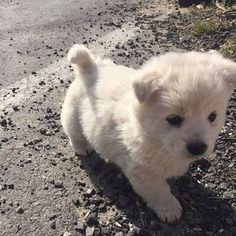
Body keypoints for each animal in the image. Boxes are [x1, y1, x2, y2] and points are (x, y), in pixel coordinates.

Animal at [61, 45, 236, 224]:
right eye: (174, 119)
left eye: (212, 116)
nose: (198, 148)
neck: (155, 140)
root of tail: (91, 67)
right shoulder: (144, 172)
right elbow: (160, 192)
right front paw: (170, 210)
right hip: (72, 113)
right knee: (74, 132)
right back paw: (83, 147)